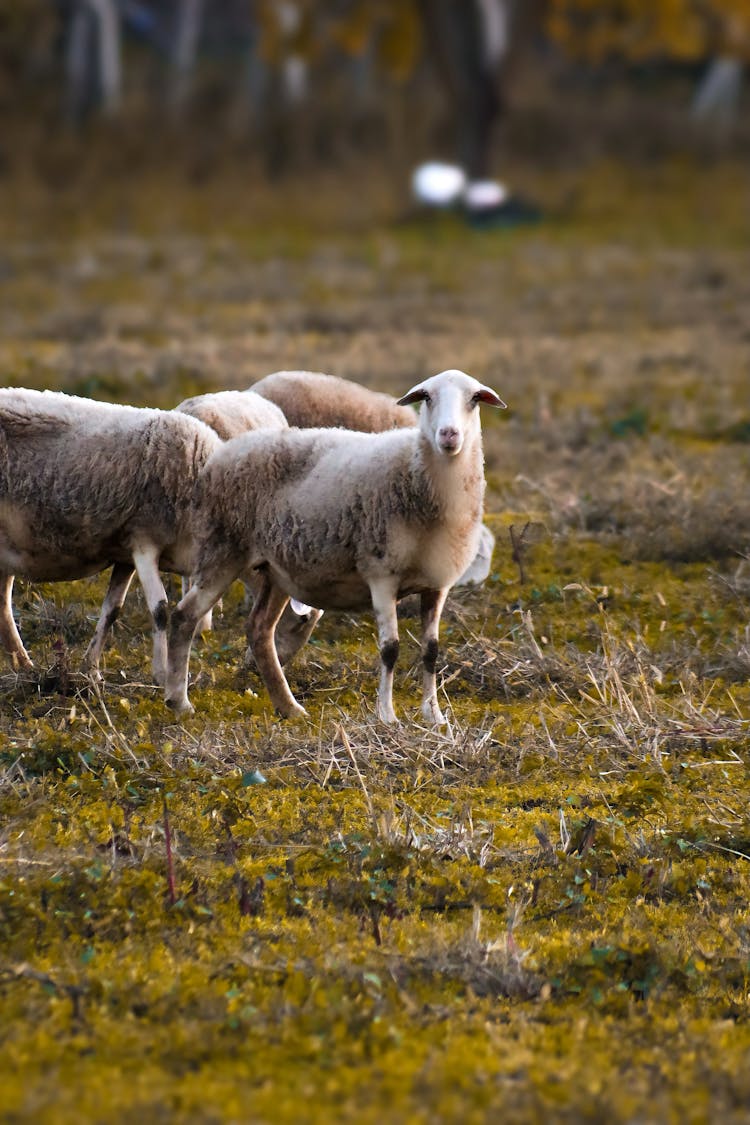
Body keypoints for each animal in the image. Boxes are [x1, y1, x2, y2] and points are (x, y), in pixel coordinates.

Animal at [166, 364, 508, 724]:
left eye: (474, 398)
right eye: (427, 397)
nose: (449, 435)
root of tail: (221, 455)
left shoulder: (436, 583)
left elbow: (431, 651)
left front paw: (435, 717)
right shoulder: (381, 574)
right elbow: (390, 649)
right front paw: (387, 716)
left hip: (275, 571)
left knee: (258, 630)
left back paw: (289, 707)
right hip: (222, 550)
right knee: (184, 616)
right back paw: (179, 701)